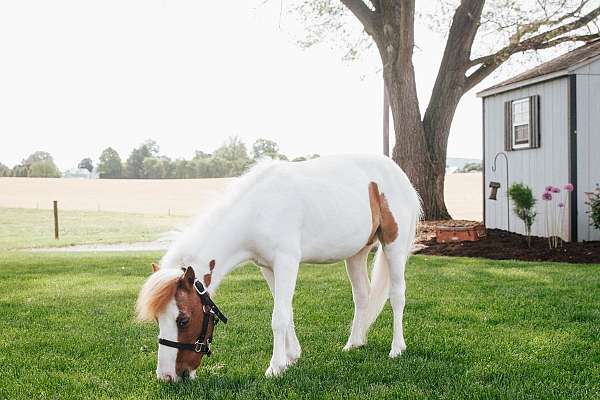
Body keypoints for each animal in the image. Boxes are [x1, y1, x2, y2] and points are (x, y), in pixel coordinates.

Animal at [135, 154, 420, 382]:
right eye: (158, 319)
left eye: (182, 319)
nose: (167, 376)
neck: (256, 211)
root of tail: (400, 175)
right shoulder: (268, 268)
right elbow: (287, 311)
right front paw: (291, 357)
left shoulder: (286, 262)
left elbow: (279, 316)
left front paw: (275, 367)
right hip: (356, 254)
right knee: (362, 297)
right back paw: (354, 343)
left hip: (393, 246)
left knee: (397, 296)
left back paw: (397, 348)